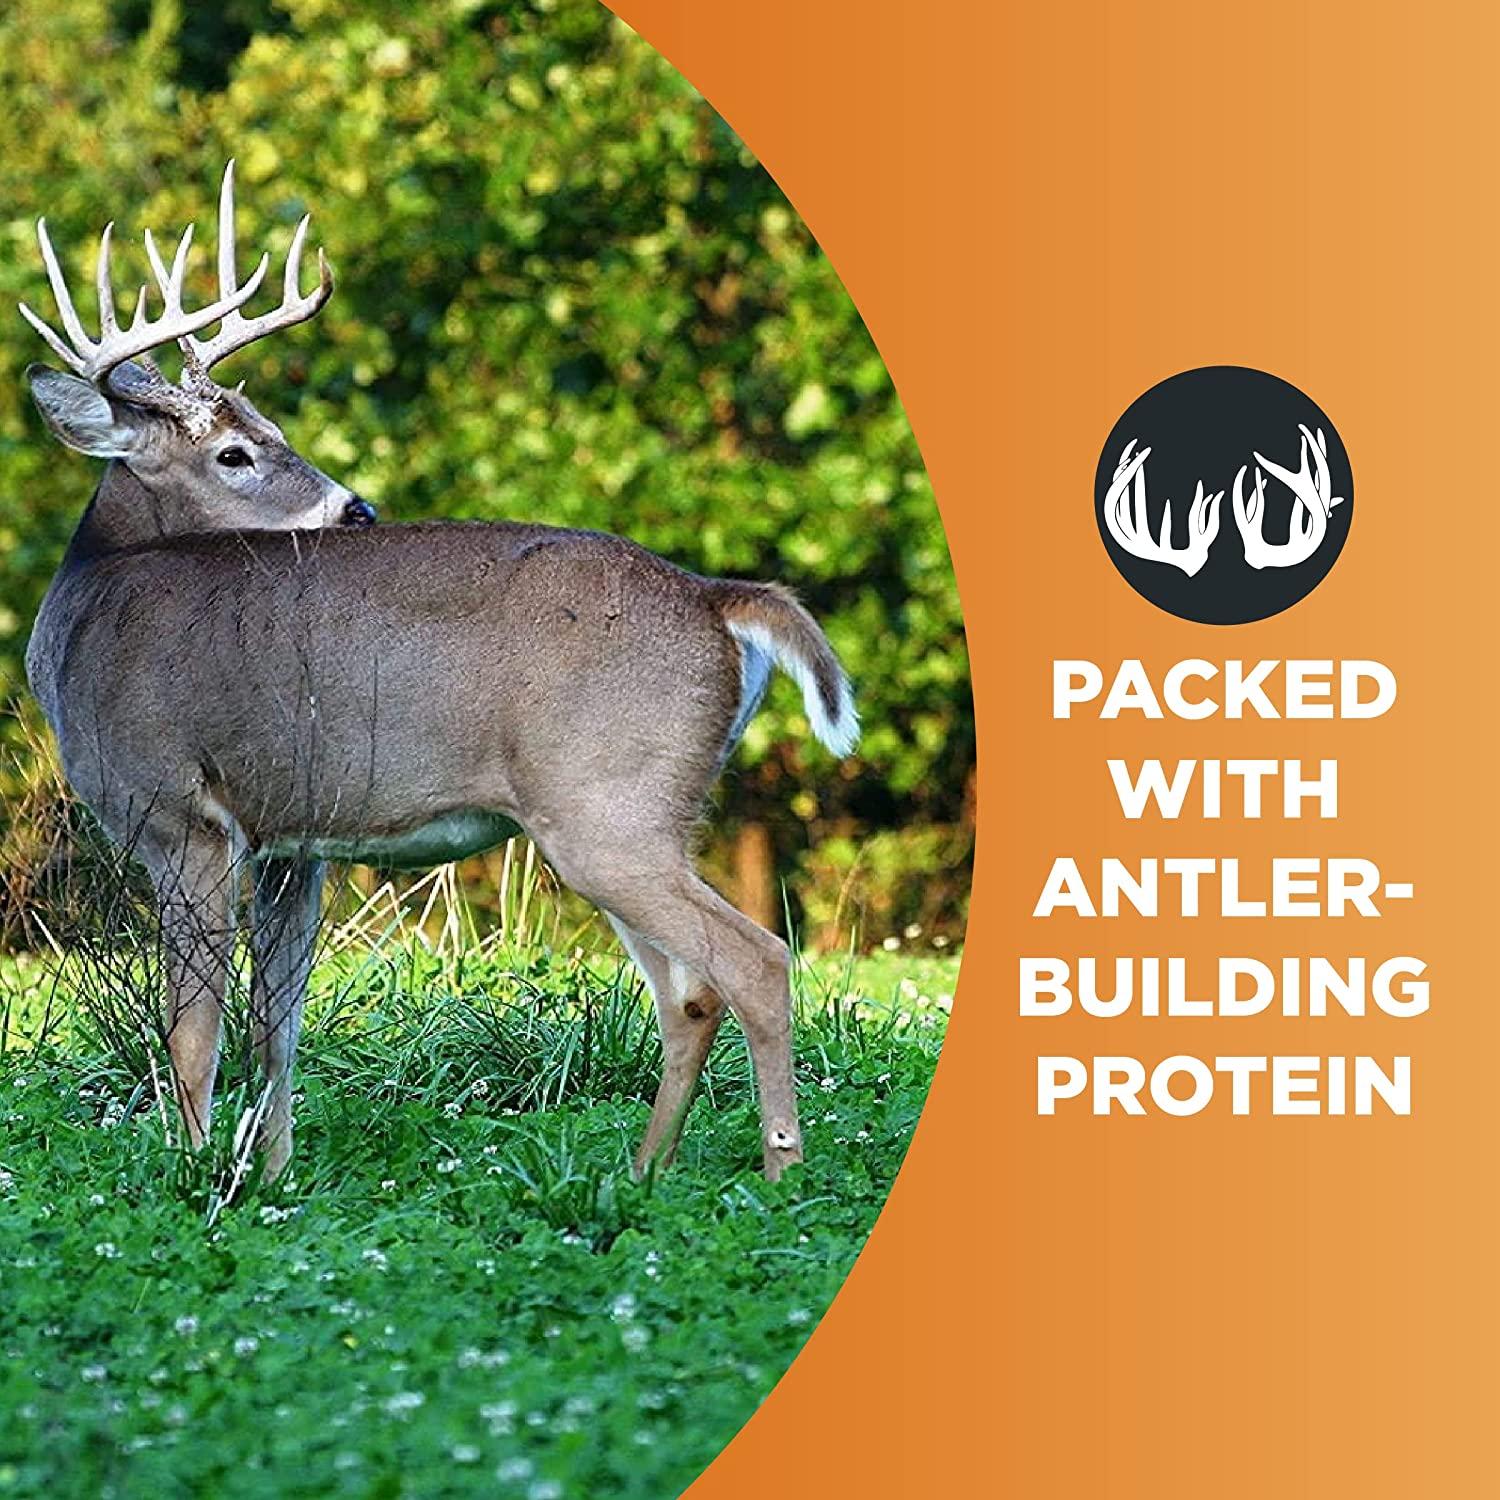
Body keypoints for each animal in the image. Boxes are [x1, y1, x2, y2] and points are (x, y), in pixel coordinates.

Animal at [19, 164, 858, 1185]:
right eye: (237, 449)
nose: (357, 510)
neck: (86, 606)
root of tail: (713, 599)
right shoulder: (294, 840)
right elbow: (275, 1025)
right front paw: (273, 1176)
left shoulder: (180, 813)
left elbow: (192, 1032)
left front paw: (197, 1176)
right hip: (629, 814)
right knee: (688, 994)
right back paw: (641, 1175)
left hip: (607, 804)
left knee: (756, 962)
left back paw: (780, 1173)